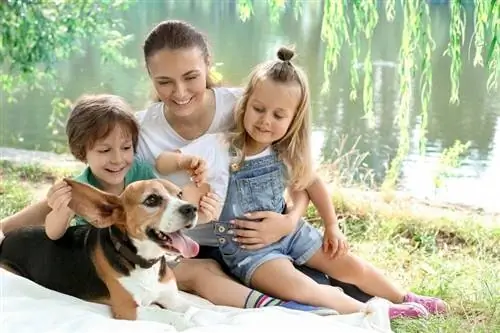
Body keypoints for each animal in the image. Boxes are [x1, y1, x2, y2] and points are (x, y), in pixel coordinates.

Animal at [0, 179, 203, 326]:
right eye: (152, 200)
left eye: (180, 194)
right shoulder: (129, 309)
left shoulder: (173, 299)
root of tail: (6, 238)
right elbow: (174, 317)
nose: (191, 208)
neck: (144, 264)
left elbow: (196, 311)